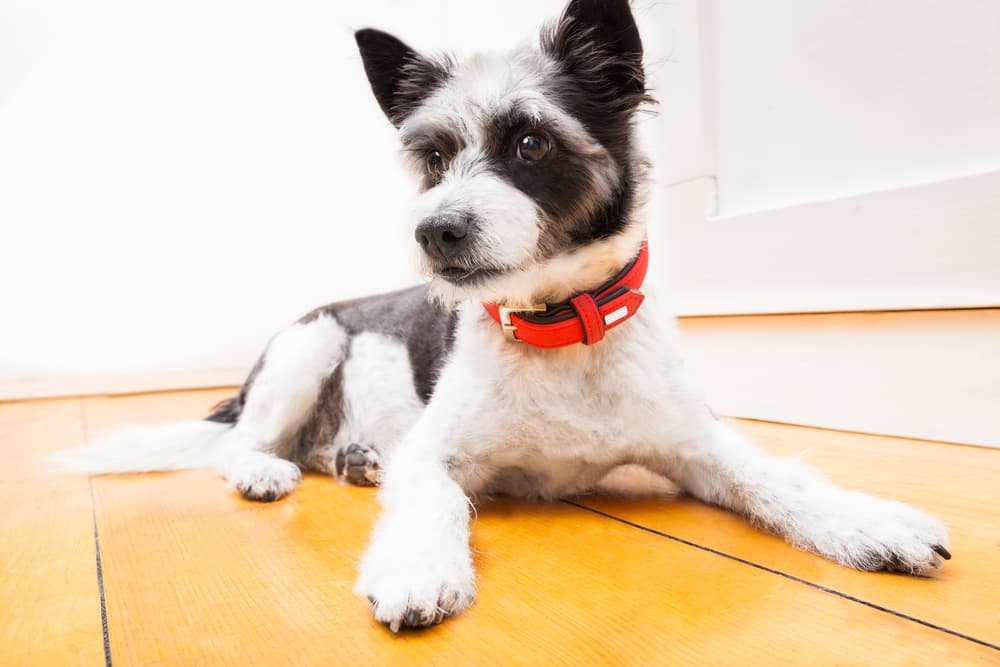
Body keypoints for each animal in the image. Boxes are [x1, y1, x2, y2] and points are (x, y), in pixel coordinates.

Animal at [56, 0, 952, 632]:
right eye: (433, 158)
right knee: (238, 445)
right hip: (306, 347)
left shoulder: (695, 443)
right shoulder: (433, 453)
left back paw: (353, 458)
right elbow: (438, 497)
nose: (434, 231)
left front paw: (868, 520)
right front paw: (420, 568)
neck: (558, 326)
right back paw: (267, 470)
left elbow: (775, 476)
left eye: (529, 143)